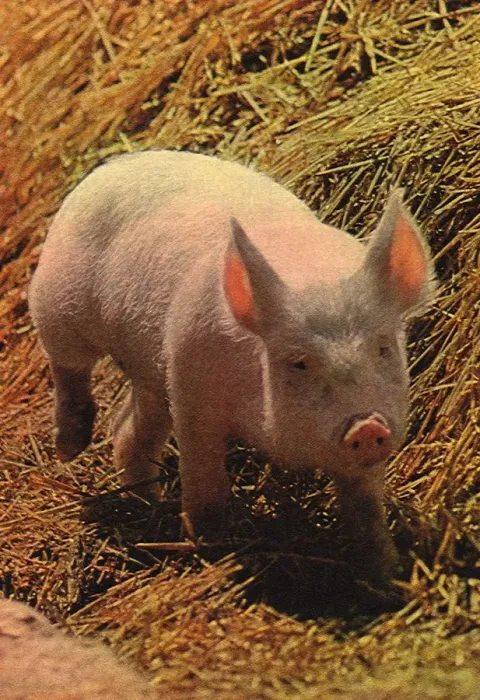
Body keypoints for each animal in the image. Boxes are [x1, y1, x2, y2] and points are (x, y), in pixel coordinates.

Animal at [29, 150, 436, 582]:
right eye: (298, 362)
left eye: (383, 348)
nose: (368, 426)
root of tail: (123, 161)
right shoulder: (192, 390)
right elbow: (205, 479)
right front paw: (211, 547)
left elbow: (366, 509)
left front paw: (388, 571)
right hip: (57, 301)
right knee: (68, 366)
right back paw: (69, 447)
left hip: (155, 372)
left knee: (127, 429)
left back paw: (145, 502)